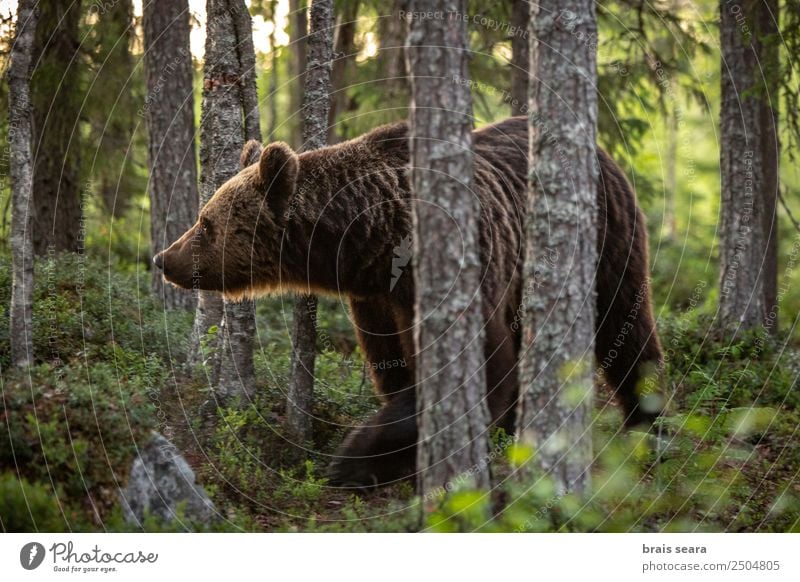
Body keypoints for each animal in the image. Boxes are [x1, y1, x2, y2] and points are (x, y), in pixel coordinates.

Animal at [152, 116, 664, 490]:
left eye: (206, 223)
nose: (163, 258)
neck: (372, 237)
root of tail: (604, 152)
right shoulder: (376, 298)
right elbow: (395, 366)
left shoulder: (451, 271)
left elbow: (480, 365)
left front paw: (354, 459)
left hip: (604, 240)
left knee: (625, 323)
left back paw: (647, 421)